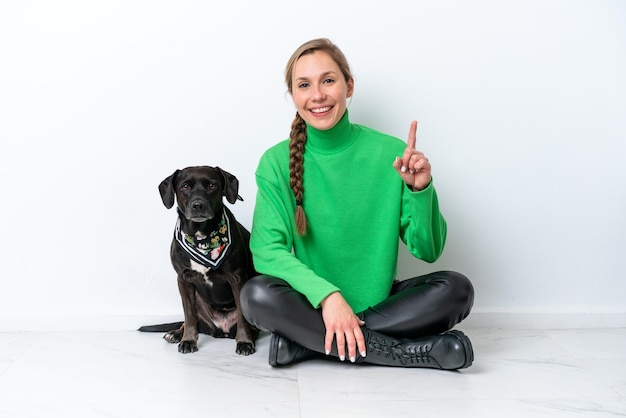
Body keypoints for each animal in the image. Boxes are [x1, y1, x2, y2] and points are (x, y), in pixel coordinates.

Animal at [140, 165, 258, 354]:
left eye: (212, 185)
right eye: (185, 186)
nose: (198, 205)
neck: (201, 236)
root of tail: (221, 330)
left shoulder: (237, 278)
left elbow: (242, 316)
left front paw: (245, 341)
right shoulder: (183, 279)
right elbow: (189, 315)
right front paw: (188, 340)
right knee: (191, 319)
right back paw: (176, 333)